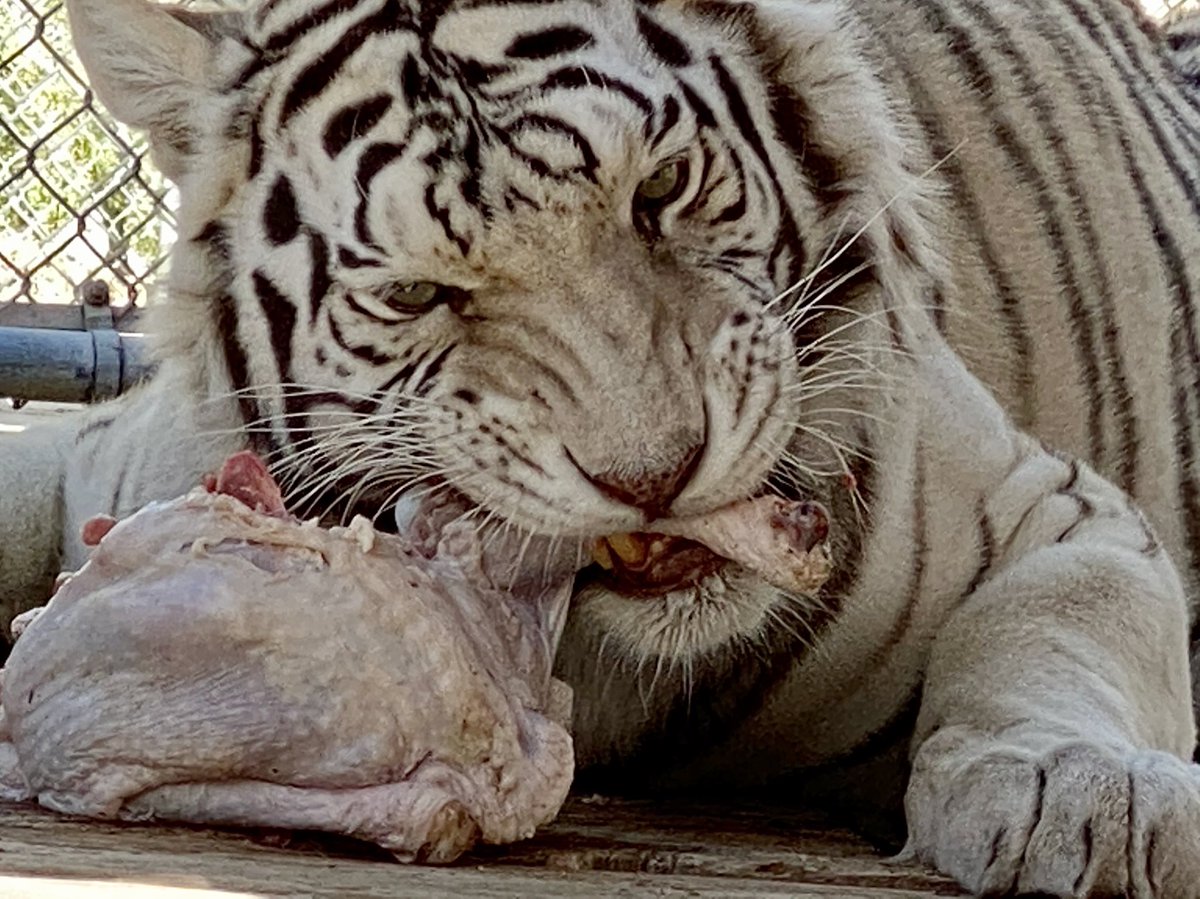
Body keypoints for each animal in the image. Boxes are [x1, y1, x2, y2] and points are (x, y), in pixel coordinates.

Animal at [2, 0, 1200, 893]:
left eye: (660, 187)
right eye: (418, 293)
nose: (653, 474)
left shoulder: (1054, 507)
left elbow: (1052, 628)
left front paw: (1081, 792)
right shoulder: (104, 459)